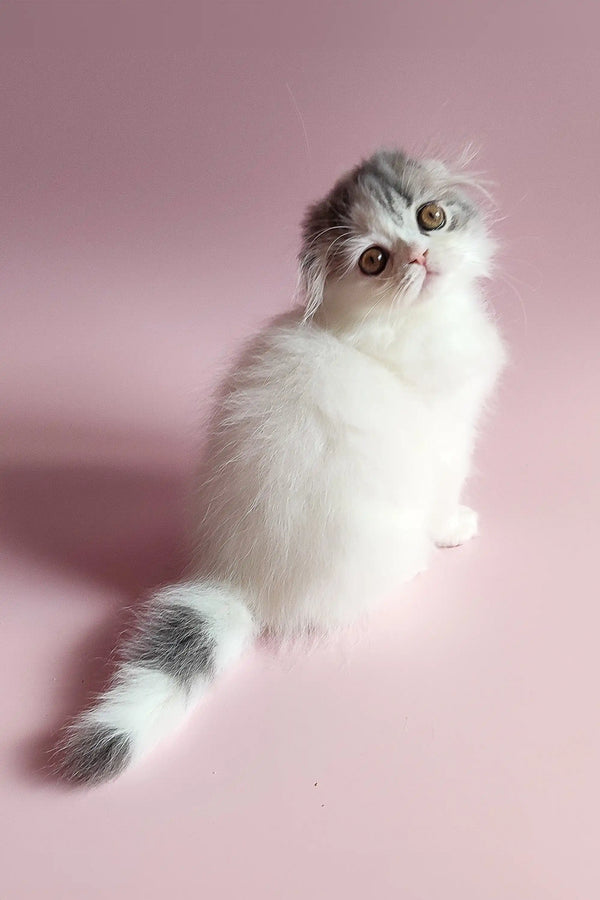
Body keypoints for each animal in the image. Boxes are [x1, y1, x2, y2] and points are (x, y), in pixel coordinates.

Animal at [56, 151, 506, 784]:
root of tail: (240, 578)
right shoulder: (448, 441)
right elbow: (446, 500)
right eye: (374, 260)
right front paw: (456, 529)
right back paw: (415, 564)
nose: (418, 256)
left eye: (431, 217)